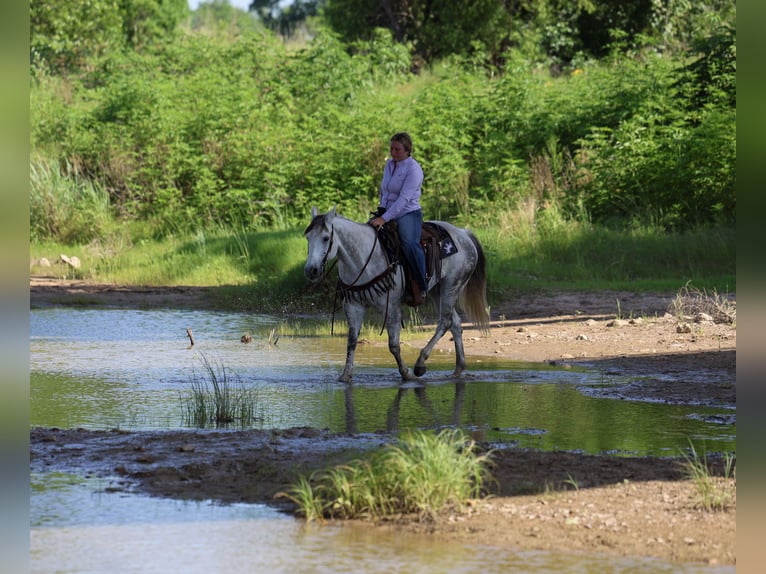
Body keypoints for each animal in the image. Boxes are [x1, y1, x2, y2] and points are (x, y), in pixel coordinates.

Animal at [304, 206, 490, 383]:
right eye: (308, 237)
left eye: (326, 238)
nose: (311, 270)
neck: (362, 258)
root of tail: (463, 234)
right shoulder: (354, 306)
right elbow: (351, 342)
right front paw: (346, 375)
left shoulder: (391, 306)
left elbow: (393, 344)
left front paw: (406, 374)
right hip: (437, 290)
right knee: (455, 323)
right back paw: (458, 368)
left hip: (451, 286)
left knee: (445, 322)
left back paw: (420, 364)